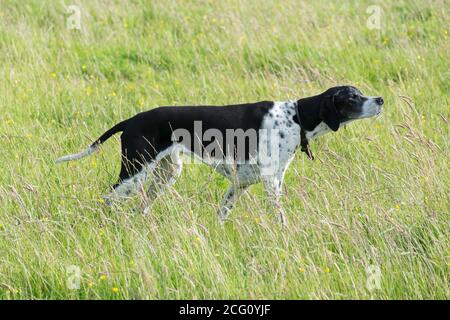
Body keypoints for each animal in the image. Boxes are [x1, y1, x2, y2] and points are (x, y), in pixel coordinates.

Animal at [56, 85, 384, 225]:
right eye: (352, 97)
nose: (380, 99)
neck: (297, 116)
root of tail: (131, 120)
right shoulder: (270, 182)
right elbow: (279, 216)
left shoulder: (240, 185)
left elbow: (222, 214)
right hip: (135, 172)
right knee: (108, 199)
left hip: (165, 175)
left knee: (141, 207)